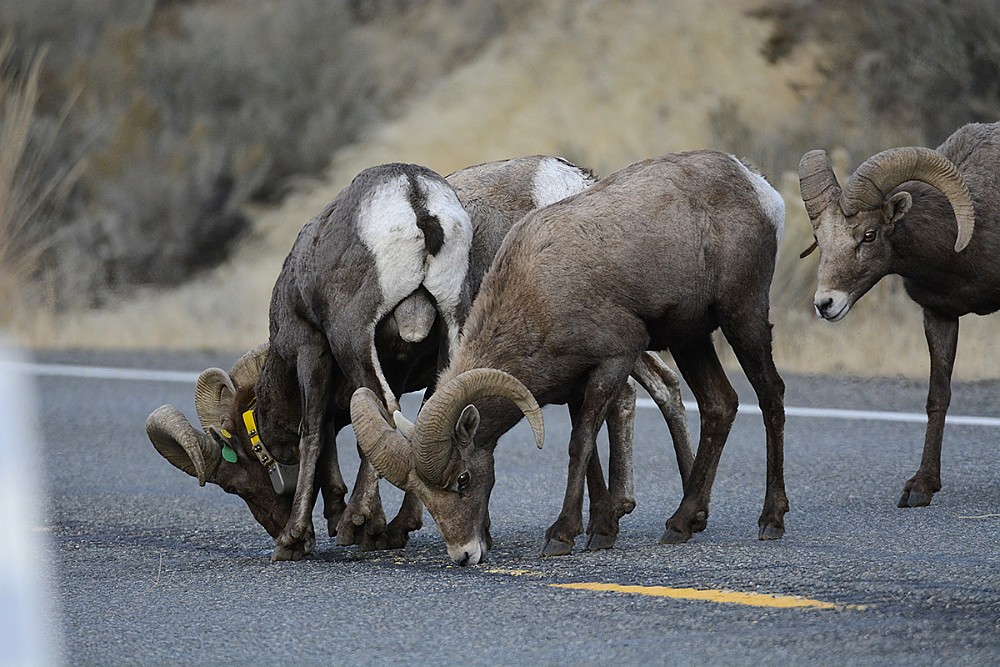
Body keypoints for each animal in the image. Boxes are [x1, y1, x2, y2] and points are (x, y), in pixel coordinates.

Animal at [354, 150, 788, 564]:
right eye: (427, 495)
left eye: (463, 479)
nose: (464, 555)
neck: (539, 297)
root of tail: (759, 188)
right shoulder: (574, 385)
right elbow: (589, 449)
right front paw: (600, 530)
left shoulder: (614, 360)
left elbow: (580, 444)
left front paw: (561, 536)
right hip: (691, 339)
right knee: (719, 405)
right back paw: (682, 522)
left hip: (742, 315)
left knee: (770, 395)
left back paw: (771, 520)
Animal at [796, 121, 992, 506]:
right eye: (820, 239)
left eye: (869, 235)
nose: (825, 304)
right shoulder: (939, 316)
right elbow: (938, 397)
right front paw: (921, 488)